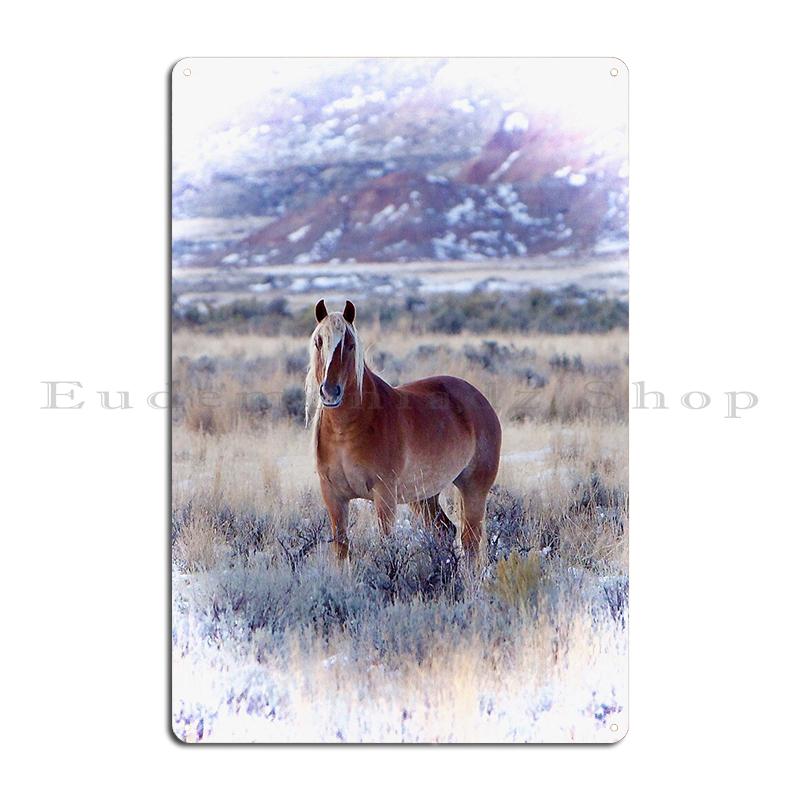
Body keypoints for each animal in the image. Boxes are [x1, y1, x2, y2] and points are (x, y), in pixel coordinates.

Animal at [305, 298, 502, 562]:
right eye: (319, 342)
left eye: (350, 345)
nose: (330, 392)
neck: (345, 432)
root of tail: (480, 399)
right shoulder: (333, 496)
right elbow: (341, 549)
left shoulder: (384, 495)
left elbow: (385, 543)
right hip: (425, 495)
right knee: (444, 530)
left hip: (473, 488)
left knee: (470, 540)